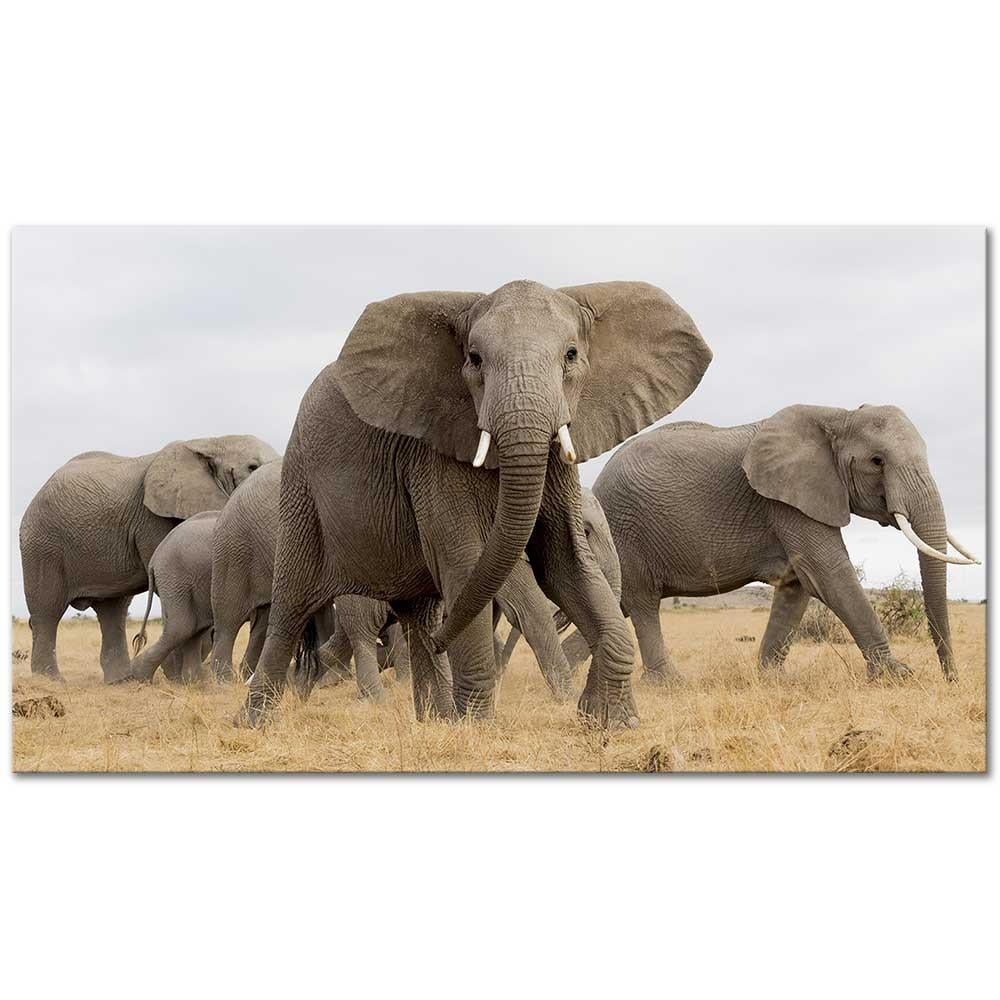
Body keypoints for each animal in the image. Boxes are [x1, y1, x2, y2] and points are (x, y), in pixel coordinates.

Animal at [19, 434, 279, 682]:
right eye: (252, 467)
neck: (212, 441)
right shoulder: (152, 519)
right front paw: (176, 675)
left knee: (113, 610)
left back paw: (121, 680)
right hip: (42, 544)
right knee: (47, 609)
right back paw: (52, 680)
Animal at [239, 279, 712, 728]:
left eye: (572, 355)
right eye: (475, 359)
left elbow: (566, 562)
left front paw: (611, 721)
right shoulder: (433, 456)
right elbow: (467, 563)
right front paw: (477, 727)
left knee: (421, 615)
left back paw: (434, 717)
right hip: (301, 487)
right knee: (291, 605)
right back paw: (255, 722)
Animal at [582, 405, 978, 685]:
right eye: (877, 461)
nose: (951, 680)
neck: (838, 415)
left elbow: (797, 584)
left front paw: (771, 678)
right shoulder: (786, 501)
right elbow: (828, 573)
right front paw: (898, 676)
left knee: (621, 605)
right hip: (625, 530)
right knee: (644, 603)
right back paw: (668, 684)